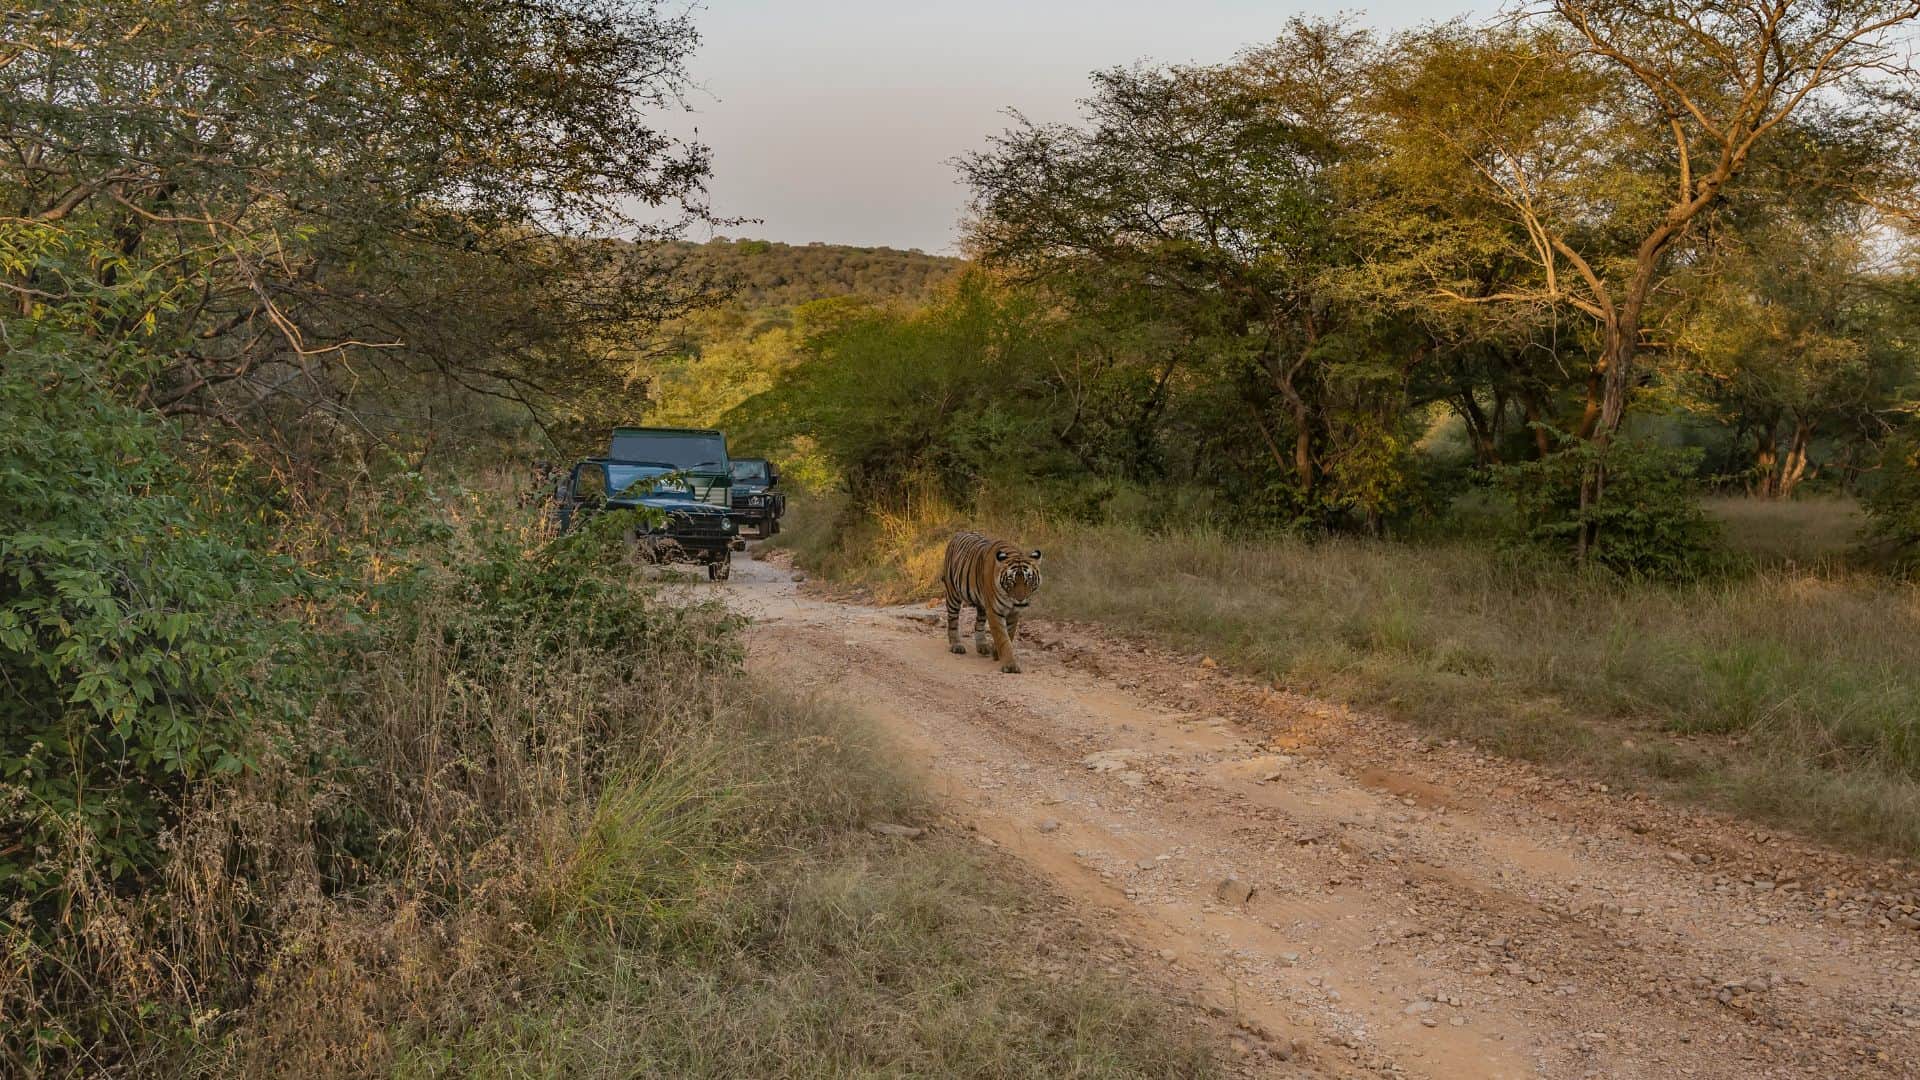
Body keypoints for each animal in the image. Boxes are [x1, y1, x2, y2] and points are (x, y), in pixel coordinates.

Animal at [942, 530, 1043, 674]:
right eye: (1011, 580)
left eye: (1028, 579)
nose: (1020, 599)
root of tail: (958, 533)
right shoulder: (995, 611)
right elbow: (1003, 638)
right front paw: (1010, 665)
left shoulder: (1013, 613)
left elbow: (1009, 634)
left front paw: (996, 653)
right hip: (953, 594)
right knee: (953, 620)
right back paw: (956, 645)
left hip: (982, 604)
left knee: (979, 623)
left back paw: (983, 646)